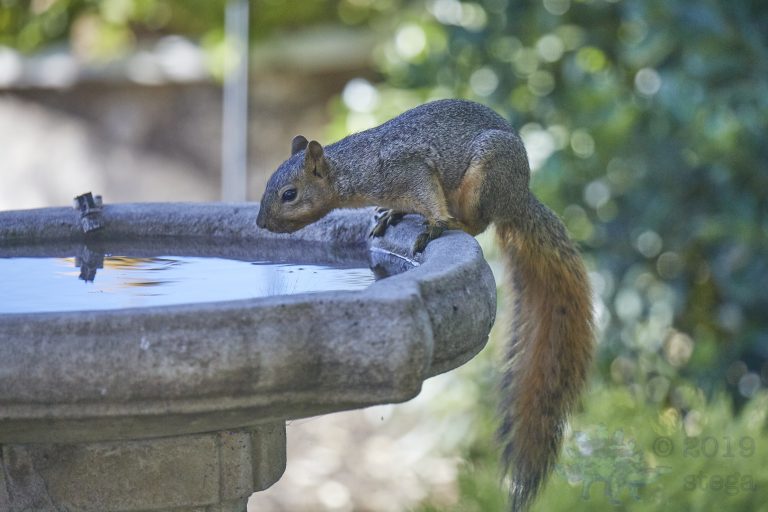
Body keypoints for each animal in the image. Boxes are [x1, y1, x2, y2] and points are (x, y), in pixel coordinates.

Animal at [256, 99, 593, 511]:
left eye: (289, 194)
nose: (260, 222)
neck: (355, 169)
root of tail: (518, 198)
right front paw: (391, 212)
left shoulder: (410, 170)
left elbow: (429, 197)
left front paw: (430, 223)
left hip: (487, 176)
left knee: (476, 223)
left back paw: (450, 225)